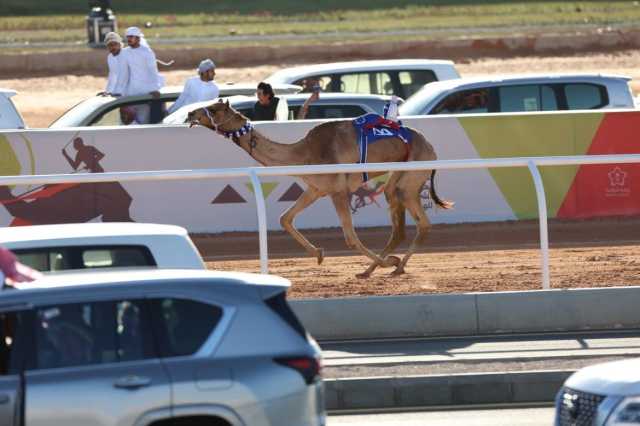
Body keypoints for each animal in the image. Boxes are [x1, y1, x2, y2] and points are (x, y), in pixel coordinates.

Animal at [188, 99, 452, 276]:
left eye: (214, 109)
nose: (191, 113)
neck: (303, 153)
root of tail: (432, 148)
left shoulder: (338, 191)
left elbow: (350, 238)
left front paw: (390, 262)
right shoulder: (316, 189)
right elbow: (285, 218)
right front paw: (318, 254)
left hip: (412, 175)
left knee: (421, 223)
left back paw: (393, 266)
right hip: (399, 178)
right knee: (400, 225)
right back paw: (376, 269)